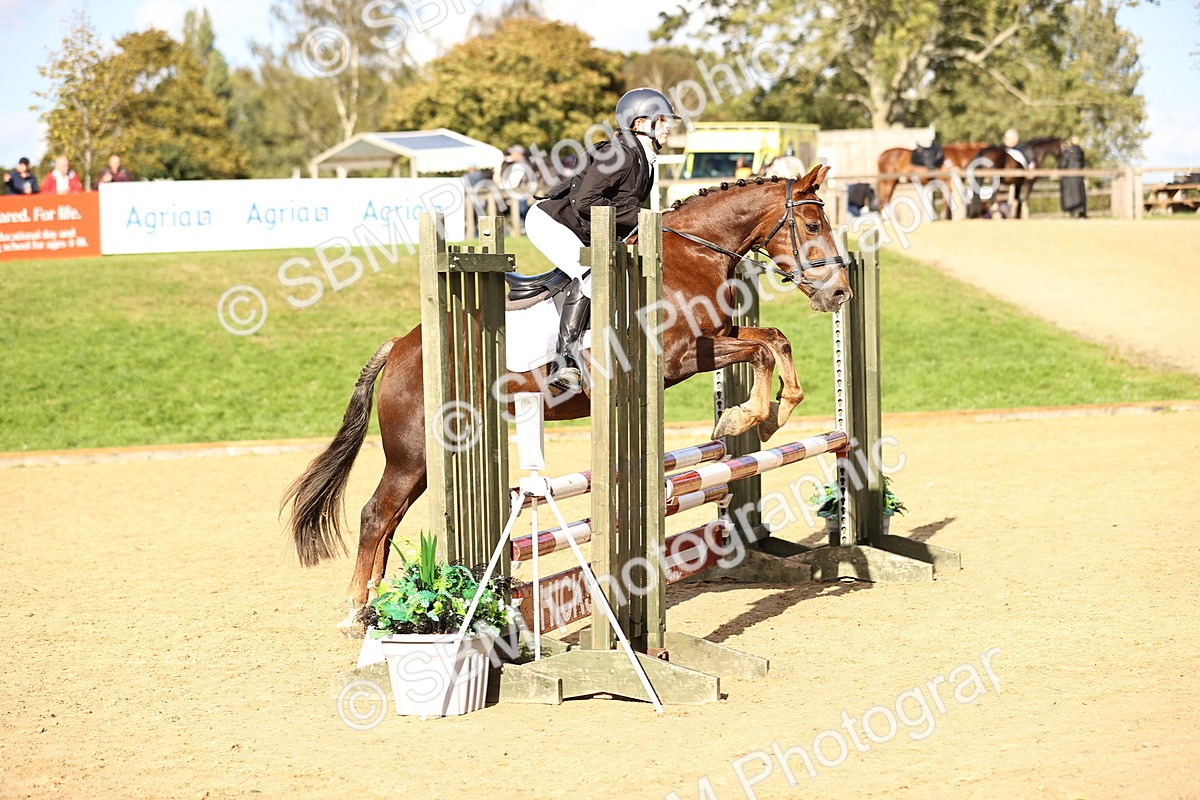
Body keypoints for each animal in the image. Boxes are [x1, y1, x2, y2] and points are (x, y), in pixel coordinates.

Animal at [283, 165, 852, 633]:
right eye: (811, 226)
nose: (840, 292)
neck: (690, 255)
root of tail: (401, 345)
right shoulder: (680, 358)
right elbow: (761, 350)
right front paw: (744, 417)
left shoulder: (719, 338)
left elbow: (773, 340)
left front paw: (770, 415)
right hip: (414, 453)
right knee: (375, 516)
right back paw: (357, 613)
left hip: (433, 459)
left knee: (389, 520)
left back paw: (376, 608)